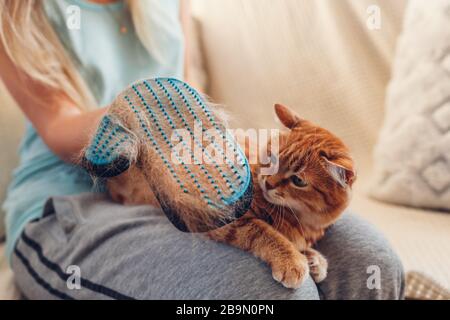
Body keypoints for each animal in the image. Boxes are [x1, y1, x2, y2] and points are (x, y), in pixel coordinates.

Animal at [109, 104, 356, 288]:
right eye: (273, 158)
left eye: (298, 181)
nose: (268, 182)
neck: (298, 219)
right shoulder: (221, 219)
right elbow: (264, 232)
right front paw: (292, 260)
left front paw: (314, 260)